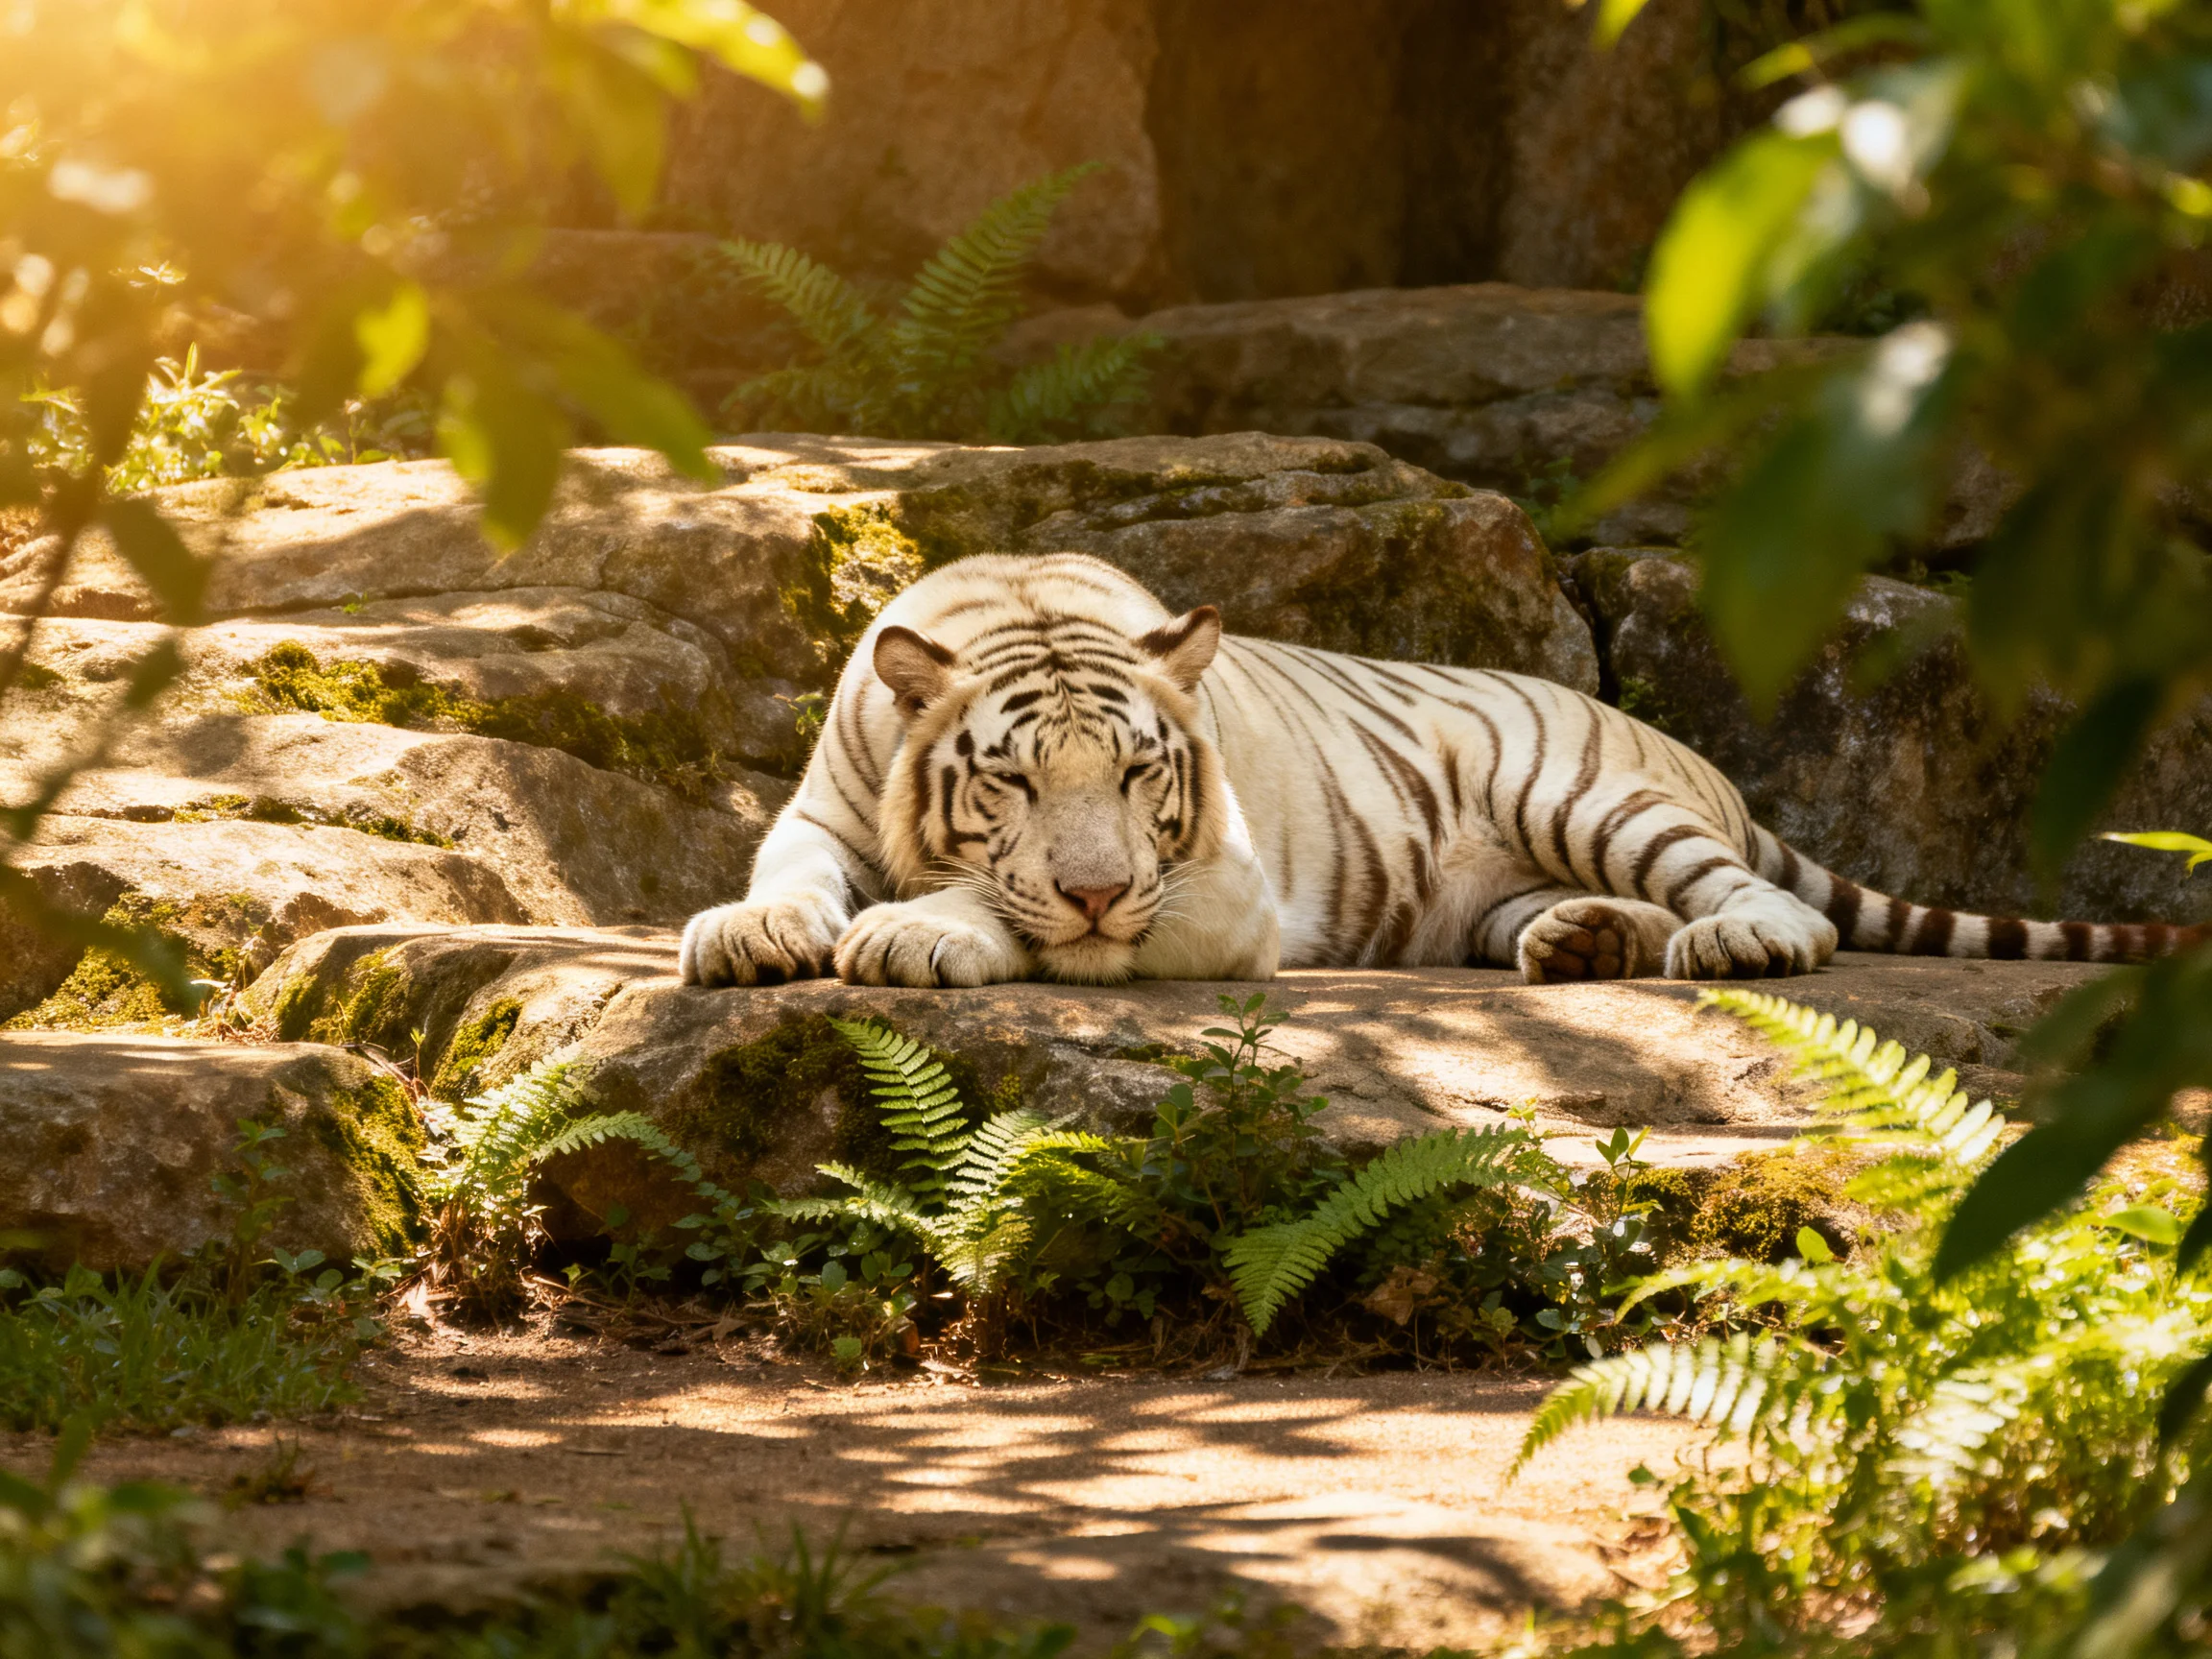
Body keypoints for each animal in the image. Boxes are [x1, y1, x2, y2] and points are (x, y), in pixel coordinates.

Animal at [678, 552, 2203, 990]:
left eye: (1134, 780)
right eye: (1011, 783)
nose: (1106, 889)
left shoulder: (1217, 890)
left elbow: (1006, 911)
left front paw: (918, 934)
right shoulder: (821, 806)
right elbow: (794, 870)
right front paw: (756, 931)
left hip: (1574, 790)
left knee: (1760, 900)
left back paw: (1734, 942)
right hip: (1494, 882)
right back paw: (1585, 943)